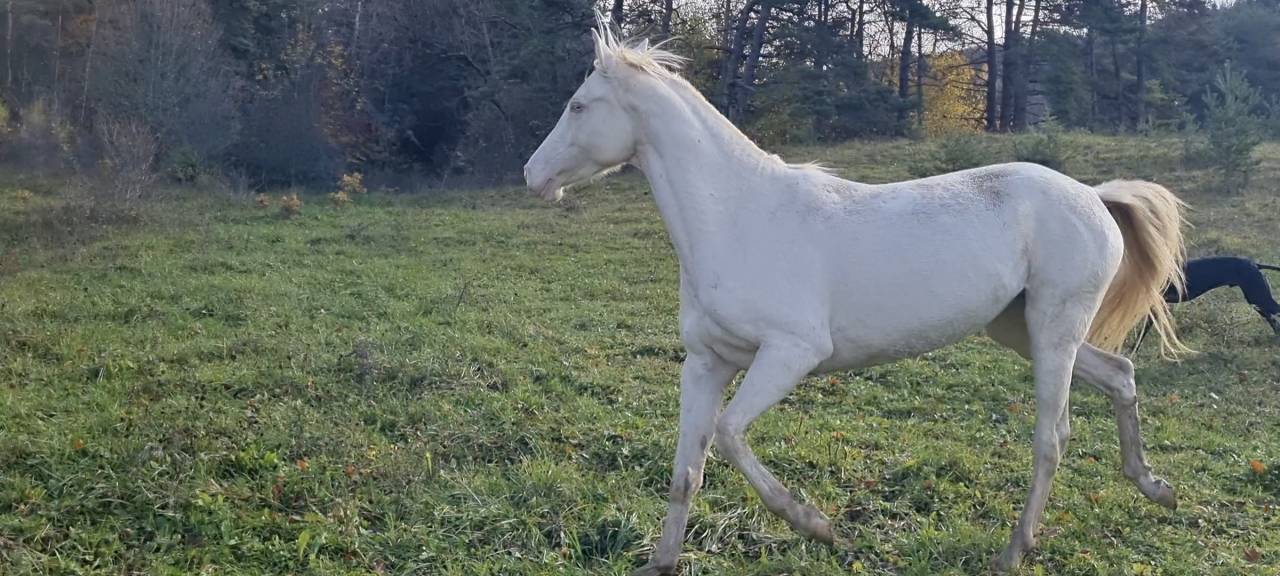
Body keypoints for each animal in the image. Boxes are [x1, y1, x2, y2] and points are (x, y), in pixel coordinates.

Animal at [523, 16, 1188, 574]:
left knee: (1052, 438)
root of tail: (1094, 195)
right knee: (1121, 374)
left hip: (1053, 330)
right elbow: (688, 469)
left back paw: (1014, 551)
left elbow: (731, 435)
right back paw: (1157, 488)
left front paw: (817, 526)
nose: (533, 175)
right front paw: (661, 562)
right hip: (1021, 329)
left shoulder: (791, 353)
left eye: (579, 104)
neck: (738, 217)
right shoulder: (706, 363)